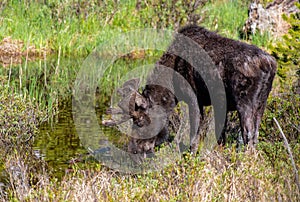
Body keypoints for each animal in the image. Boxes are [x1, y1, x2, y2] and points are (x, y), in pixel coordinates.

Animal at [103, 24, 276, 158]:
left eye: (139, 122)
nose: (133, 150)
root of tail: (270, 64)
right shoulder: (221, 105)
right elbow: (220, 135)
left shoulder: (193, 98)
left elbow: (194, 133)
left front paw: (191, 156)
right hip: (261, 104)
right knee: (255, 134)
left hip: (245, 103)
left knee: (248, 134)